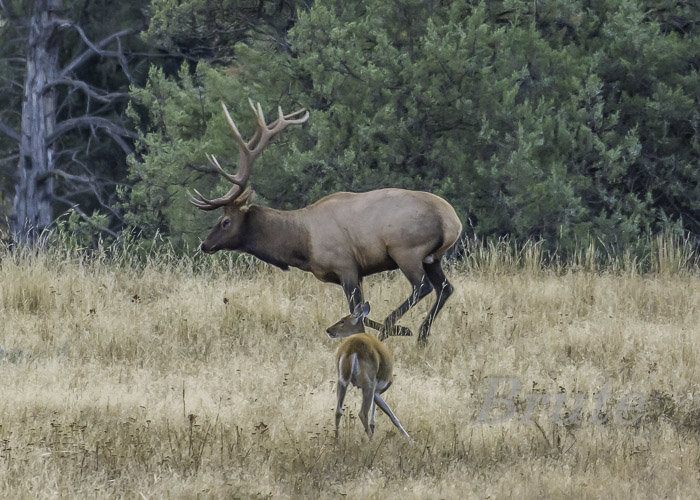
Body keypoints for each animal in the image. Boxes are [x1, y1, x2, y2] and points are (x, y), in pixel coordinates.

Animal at [189, 99, 462, 342]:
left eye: (225, 221)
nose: (205, 244)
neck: (302, 245)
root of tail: (452, 222)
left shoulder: (346, 266)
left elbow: (357, 310)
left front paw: (391, 331)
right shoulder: (356, 271)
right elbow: (360, 309)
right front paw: (400, 330)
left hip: (406, 250)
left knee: (423, 287)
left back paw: (392, 328)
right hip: (432, 258)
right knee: (446, 288)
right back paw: (421, 335)